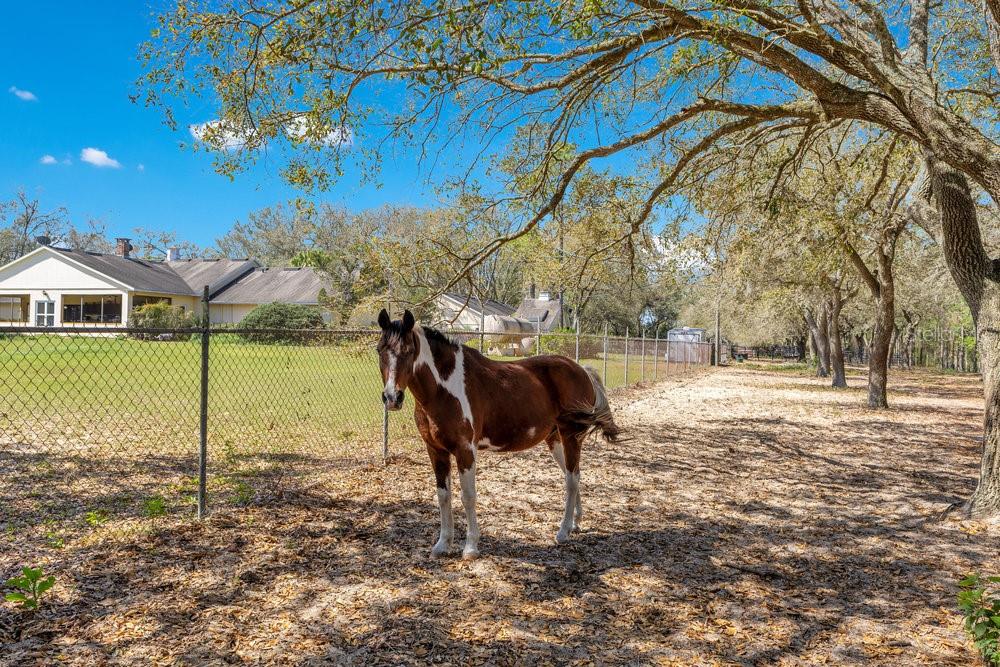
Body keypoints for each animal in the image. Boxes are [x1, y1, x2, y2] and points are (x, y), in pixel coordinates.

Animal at [378, 310, 620, 560]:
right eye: (380, 350)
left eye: (408, 351)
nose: (392, 397)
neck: (444, 388)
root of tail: (581, 370)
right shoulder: (436, 451)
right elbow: (443, 496)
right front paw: (442, 544)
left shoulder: (465, 450)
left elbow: (468, 496)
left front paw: (471, 547)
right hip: (555, 439)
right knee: (574, 475)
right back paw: (575, 523)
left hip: (571, 435)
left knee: (571, 479)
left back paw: (563, 532)